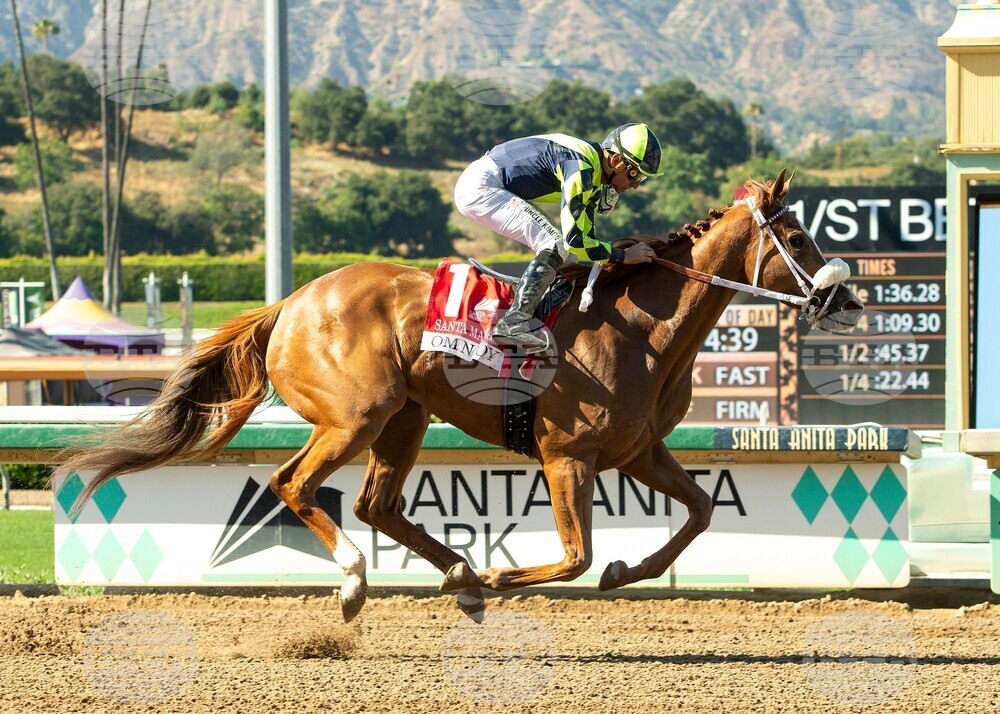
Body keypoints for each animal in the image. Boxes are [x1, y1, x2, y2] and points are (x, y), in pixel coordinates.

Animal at [64, 169, 863, 623]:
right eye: (797, 235)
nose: (847, 299)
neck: (642, 327)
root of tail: (291, 303)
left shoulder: (637, 450)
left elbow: (697, 513)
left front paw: (624, 571)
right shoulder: (566, 454)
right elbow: (573, 555)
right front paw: (509, 571)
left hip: (405, 417)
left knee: (375, 504)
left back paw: (460, 574)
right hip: (356, 416)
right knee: (296, 484)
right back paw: (360, 581)